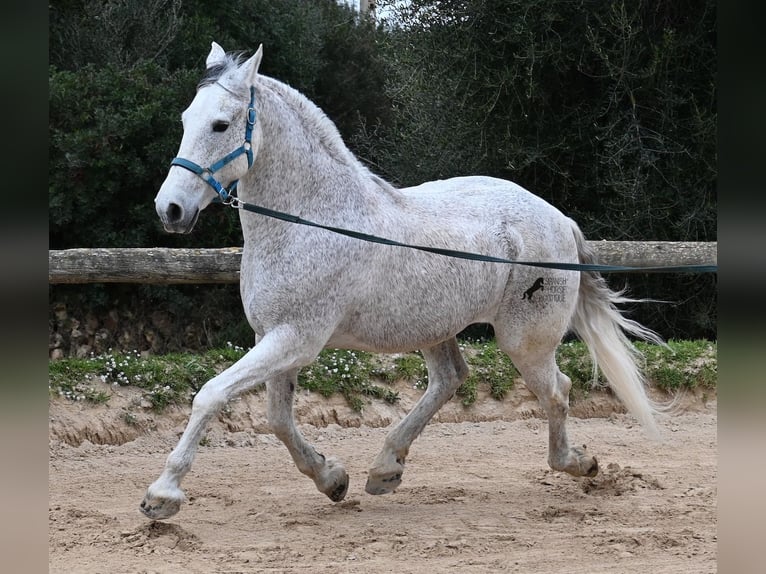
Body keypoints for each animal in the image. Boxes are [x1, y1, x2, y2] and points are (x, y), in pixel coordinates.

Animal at [142, 44, 664, 520]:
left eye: (220, 125)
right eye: (187, 119)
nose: (170, 210)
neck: (312, 221)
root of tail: (558, 218)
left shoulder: (296, 338)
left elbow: (211, 395)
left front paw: (162, 495)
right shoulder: (273, 338)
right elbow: (278, 419)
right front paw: (332, 479)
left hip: (524, 340)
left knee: (556, 390)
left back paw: (578, 463)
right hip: (433, 327)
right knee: (452, 378)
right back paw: (384, 469)